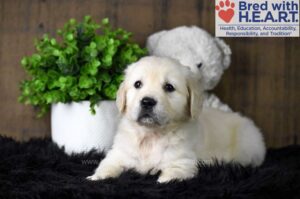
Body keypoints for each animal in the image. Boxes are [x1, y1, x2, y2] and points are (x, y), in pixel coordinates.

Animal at [86, 56, 264, 183]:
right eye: (137, 84)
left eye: (169, 87)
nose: (147, 101)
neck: (151, 135)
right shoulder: (118, 153)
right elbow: (107, 165)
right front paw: (95, 177)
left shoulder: (182, 163)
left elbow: (168, 177)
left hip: (247, 146)